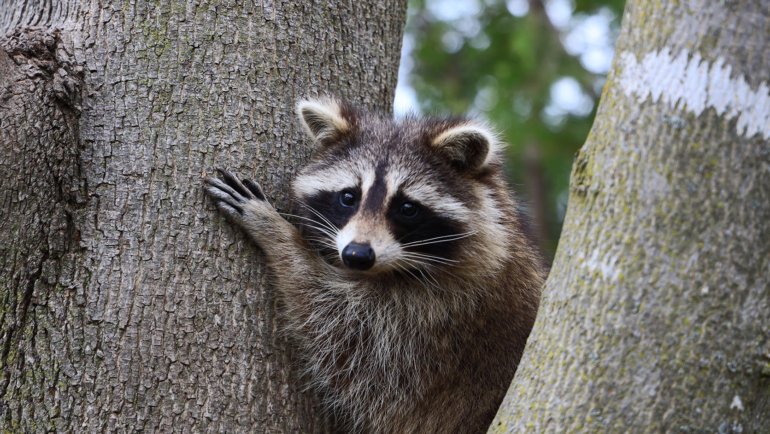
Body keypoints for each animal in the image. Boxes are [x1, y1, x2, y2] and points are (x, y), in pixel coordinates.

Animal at [202, 96, 540, 432]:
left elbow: (330, 319)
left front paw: (276, 232)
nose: (356, 254)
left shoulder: (434, 319)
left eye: (407, 208)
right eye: (348, 197)